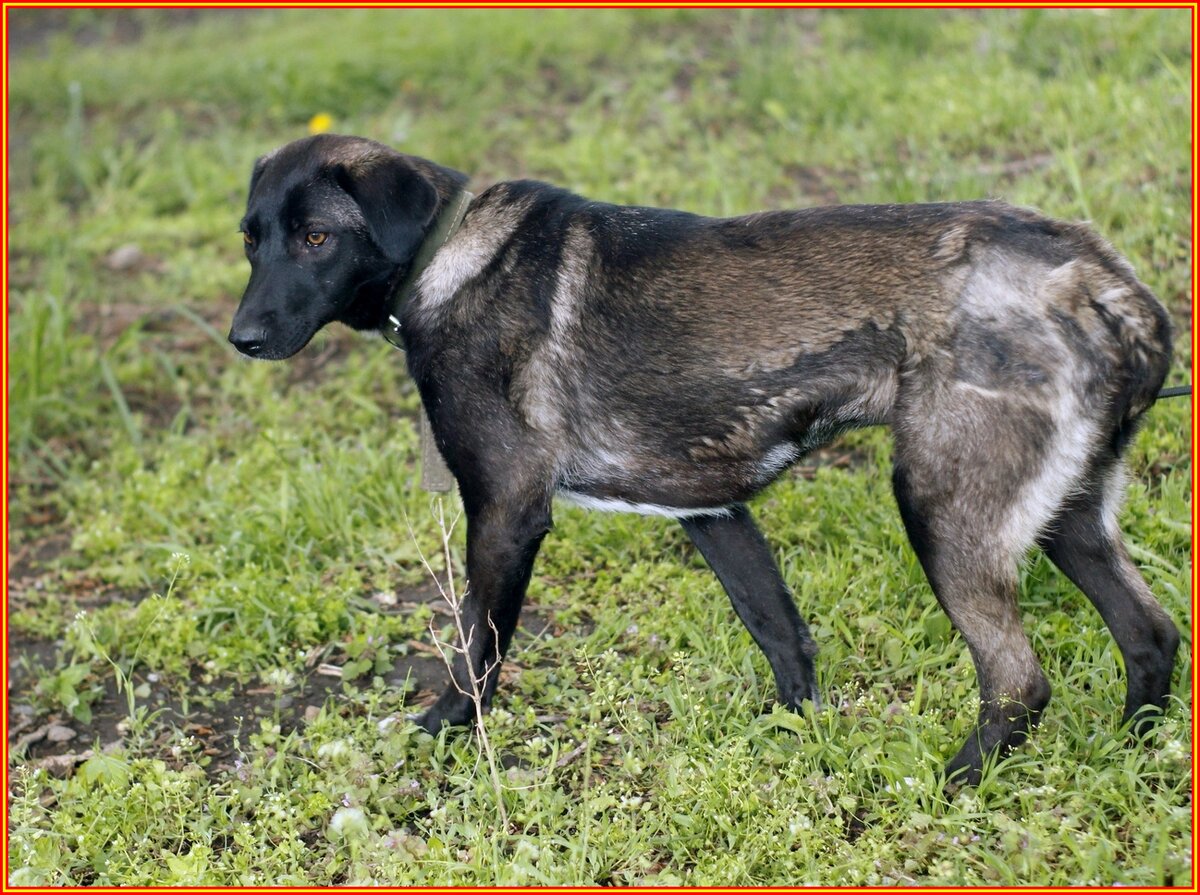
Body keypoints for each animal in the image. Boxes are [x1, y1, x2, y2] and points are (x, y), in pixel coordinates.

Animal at [229, 132, 1176, 782]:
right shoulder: (710, 506)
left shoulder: (506, 511)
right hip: (1069, 516)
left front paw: (441, 738)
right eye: (250, 238)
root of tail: (1098, 279)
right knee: (1153, 633)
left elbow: (477, 652)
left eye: (316, 238)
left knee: (1019, 682)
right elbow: (783, 633)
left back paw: (947, 783)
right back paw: (1137, 755)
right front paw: (801, 741)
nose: (242, 338)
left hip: (942, 508)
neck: (446, 251)